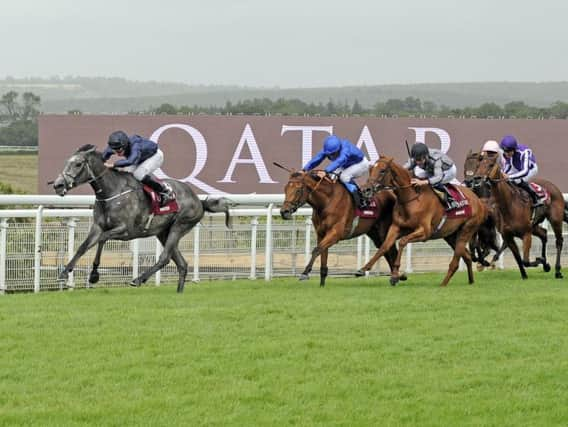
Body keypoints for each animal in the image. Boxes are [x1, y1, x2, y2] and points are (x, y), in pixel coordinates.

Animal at [52, 145, 231, 292]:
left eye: (78, 164)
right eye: (67, 162)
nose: (58, 185)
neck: (112, 192)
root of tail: (198, 200)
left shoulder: (125, 230)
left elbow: (102, 239)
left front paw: (94, 275)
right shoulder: (97, 226)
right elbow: (83, 246)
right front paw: (64, 272)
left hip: (180, 225)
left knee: (165, 258)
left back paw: (138, 279)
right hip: (163, 233)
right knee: (181, 264)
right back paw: (178, 293)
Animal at [278, 167, 406, 288]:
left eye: (298, 190)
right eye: (285, 189)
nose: (284, 212)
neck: (327, 202)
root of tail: (393, 195)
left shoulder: (335, 234)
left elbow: (316, 250)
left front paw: (305, 273)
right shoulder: (321, 234)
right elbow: (322, 255)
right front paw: (322, 284)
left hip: (384, 231)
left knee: (390, 250)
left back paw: (396, 276)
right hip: (375, 233)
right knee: (386, 250)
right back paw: (397, 277)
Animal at [360, 157, 488, 288]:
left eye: (382, 171)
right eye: (370, 169)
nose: (366, 189)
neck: (411, 198)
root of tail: (479, 201)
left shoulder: (424, 232)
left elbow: (402, 242)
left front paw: (395, 276)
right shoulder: (396, 227)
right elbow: (384, 246)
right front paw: (364, 268)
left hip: (466, 230)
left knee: (456, 260)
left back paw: (443, 284)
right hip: (450, 235)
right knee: (467, 256)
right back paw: (471, 281)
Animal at [472, 152, 564, 280]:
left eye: (490, 165)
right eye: (477, 165)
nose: (477, 178)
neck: (509, 205)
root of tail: (553, 186)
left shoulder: (526, 234)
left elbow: (525, 260)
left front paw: (540, 261)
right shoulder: (508, 236)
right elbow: (518, 258)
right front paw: (525, 275)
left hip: (555, 220)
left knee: (559, 241)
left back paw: (557, 270)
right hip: (534, 225)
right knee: (544, 234)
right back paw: (546, 265)